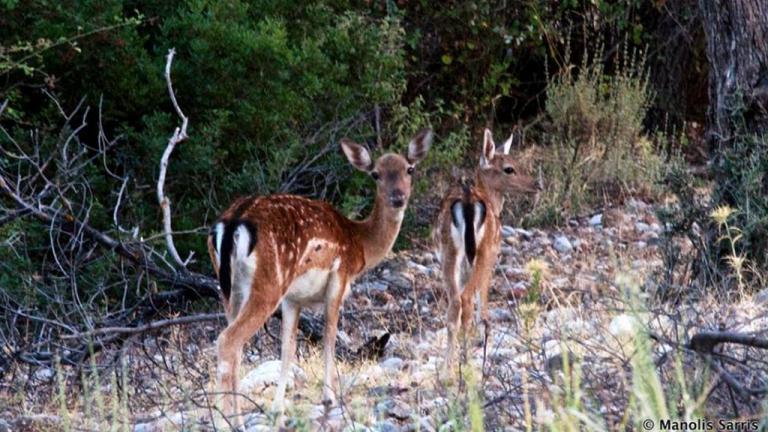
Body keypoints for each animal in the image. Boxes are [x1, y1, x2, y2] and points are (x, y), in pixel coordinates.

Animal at [207, 129, 432, 418]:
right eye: (375, 174)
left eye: (409, 169)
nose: (398, 197)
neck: (359, 243)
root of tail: (232, 222)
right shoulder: (339, 277)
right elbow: (329, 336)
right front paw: (329, 397)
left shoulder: (293, 299)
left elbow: (288, 347)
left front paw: (278, 406)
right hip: (269, 283)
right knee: (228, 340)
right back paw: (228, 419)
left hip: (229, 289)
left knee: (235, 344)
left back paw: (235, 411)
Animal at [436, 127, 536, 368]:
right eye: (509, 168)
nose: (536, 184)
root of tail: (468, 205)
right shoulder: (492, 256)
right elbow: (483, 298)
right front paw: (483, 337)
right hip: (483, 252)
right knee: (466, 298)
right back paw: (466, 363)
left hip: (448, 252)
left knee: (455, 304)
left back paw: (447, 369)